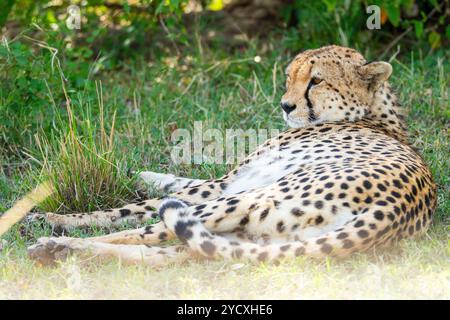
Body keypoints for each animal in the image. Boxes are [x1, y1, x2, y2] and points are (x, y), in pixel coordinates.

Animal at [27, 45, 436, 264]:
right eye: (289, 77)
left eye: (316, 80)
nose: (286, 106)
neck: (372, 116)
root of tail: (394, 211)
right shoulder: (229, 181)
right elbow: (173, 181)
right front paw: (142, 175)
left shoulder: (227, 185)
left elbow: (132, 207)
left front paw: (55, 216)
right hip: (258, 239)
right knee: (178, 256)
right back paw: (60, 252)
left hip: (246, 201)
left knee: (149, 231)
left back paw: (55, 240)